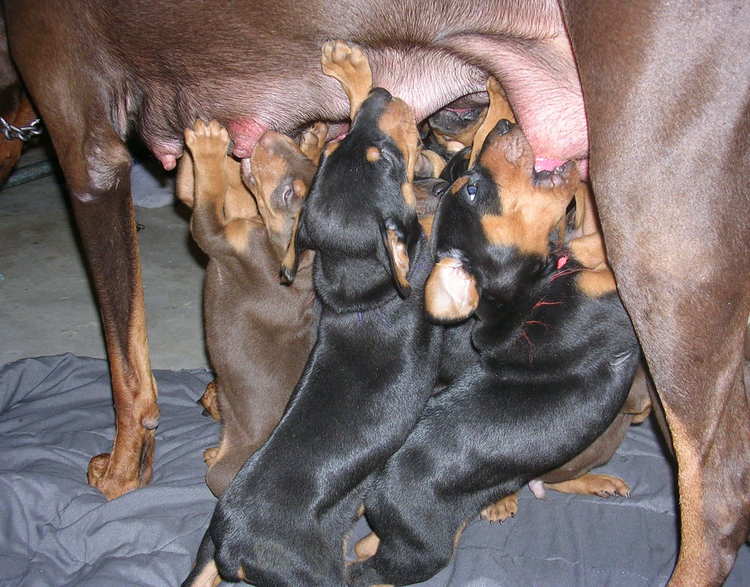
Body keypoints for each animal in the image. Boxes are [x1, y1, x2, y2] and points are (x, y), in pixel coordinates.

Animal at [181, 119, 328, 496]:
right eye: (312, 166)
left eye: (288, 194)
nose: (268, 135)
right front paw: (315, 139)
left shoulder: (220, 239)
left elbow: (206, 198)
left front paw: (207, 145)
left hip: (226, 473)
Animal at [350, 84, 644, 587]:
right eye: (471, 187)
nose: (508, 125)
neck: (538, 288)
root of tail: (376, 494)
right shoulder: (604, 301)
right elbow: (604, 257)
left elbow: (590, 236)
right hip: (422, 549)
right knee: (370, 568)